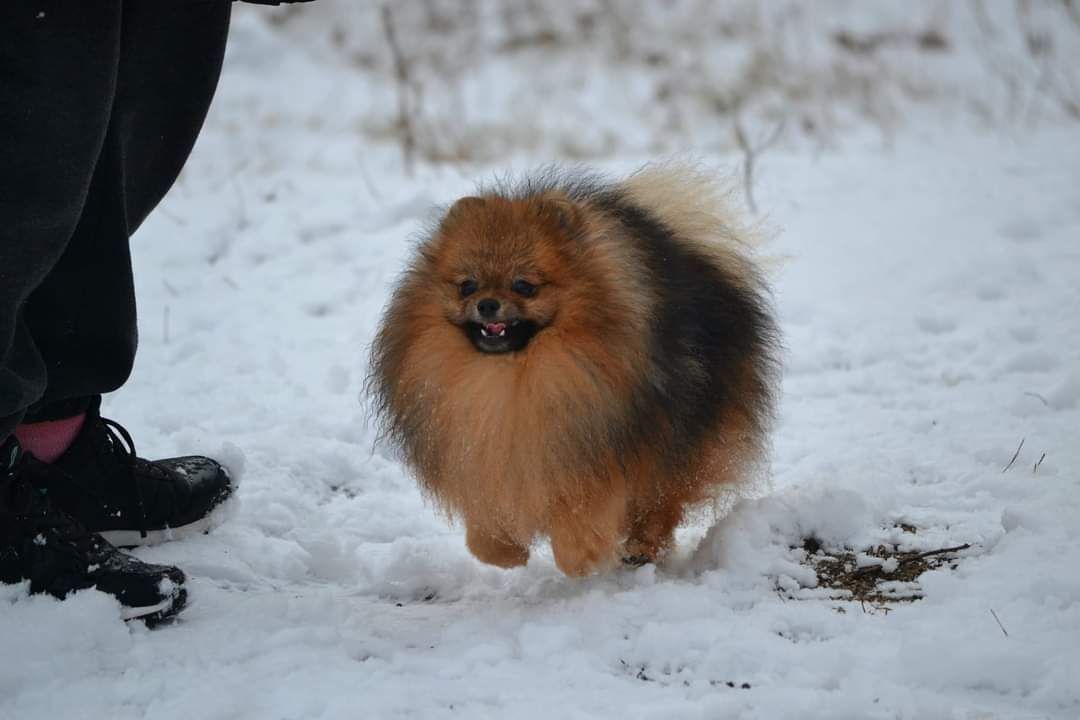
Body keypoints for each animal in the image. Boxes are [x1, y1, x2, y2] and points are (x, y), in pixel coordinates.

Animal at [369, 166, 777, 578]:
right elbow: (487, 521)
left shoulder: (590, 448)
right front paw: (503, 551)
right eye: (467, 285)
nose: (487, 304)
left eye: (524, 286)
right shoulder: (481, 452)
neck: (512, 377)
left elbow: (583, 512)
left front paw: (581, 556)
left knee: (662, 502)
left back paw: (640, 548)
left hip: (682, 436)